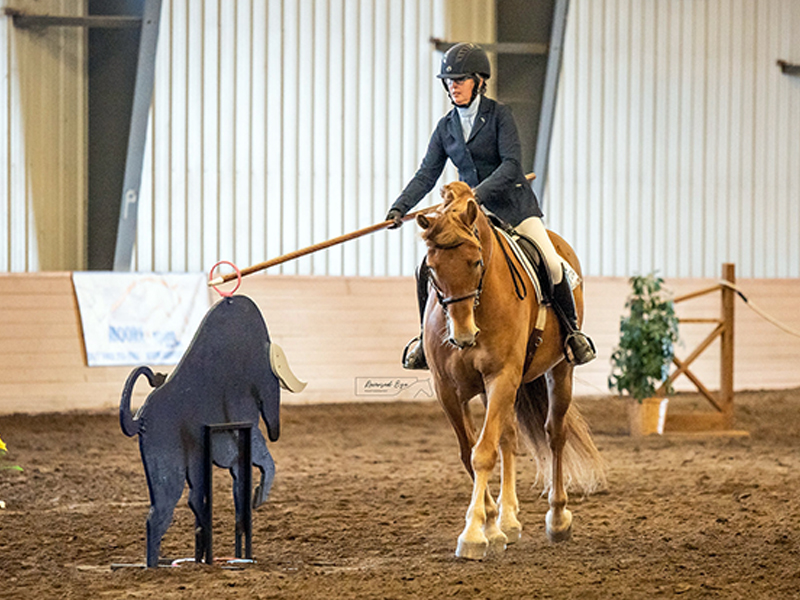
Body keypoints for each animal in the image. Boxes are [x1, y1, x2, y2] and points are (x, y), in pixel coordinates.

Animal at [416, 181, 606, 560]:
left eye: (476, 262)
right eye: (431, 269)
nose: (463, 336)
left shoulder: (502, 376)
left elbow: (483, 453)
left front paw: (474, 534)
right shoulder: (448, 388)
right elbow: (469, 452)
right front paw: (490, 526)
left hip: (559, 371)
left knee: (555, 434)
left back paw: (557, 518)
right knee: (509, 438)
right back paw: (508, 521)